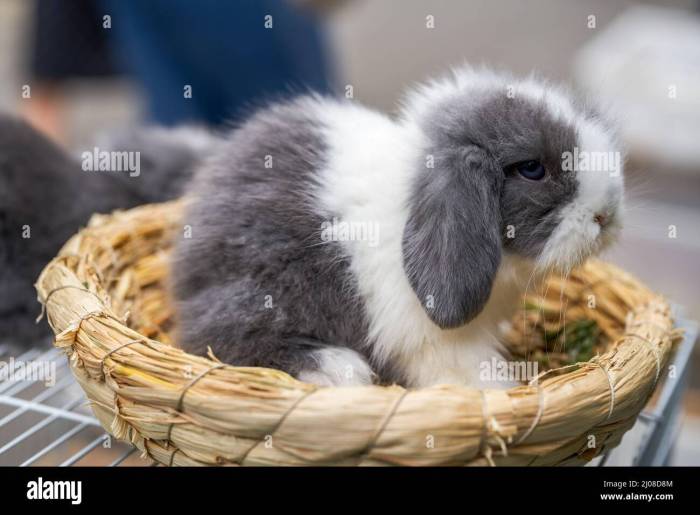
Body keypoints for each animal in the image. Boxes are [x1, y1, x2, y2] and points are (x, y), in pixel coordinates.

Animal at [172, 66, 624, 389]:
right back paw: (337, 369)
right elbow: (470, 374)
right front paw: (501, 395)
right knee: (218, 335)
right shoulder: (438, 343)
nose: (607, 215)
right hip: (259, 290)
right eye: (532, 169)